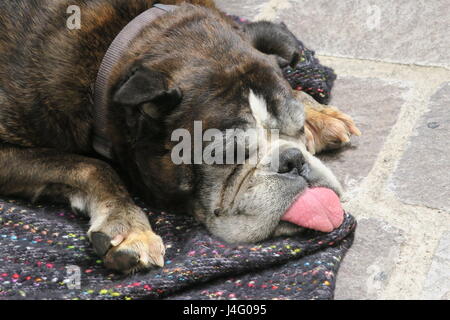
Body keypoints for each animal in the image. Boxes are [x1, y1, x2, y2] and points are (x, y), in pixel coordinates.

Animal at [0, 0, 358, 276]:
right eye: (225, 154)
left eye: (298, 129)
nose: (292, 160)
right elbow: (93, 167)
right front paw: (129, 227)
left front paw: (318, 113)